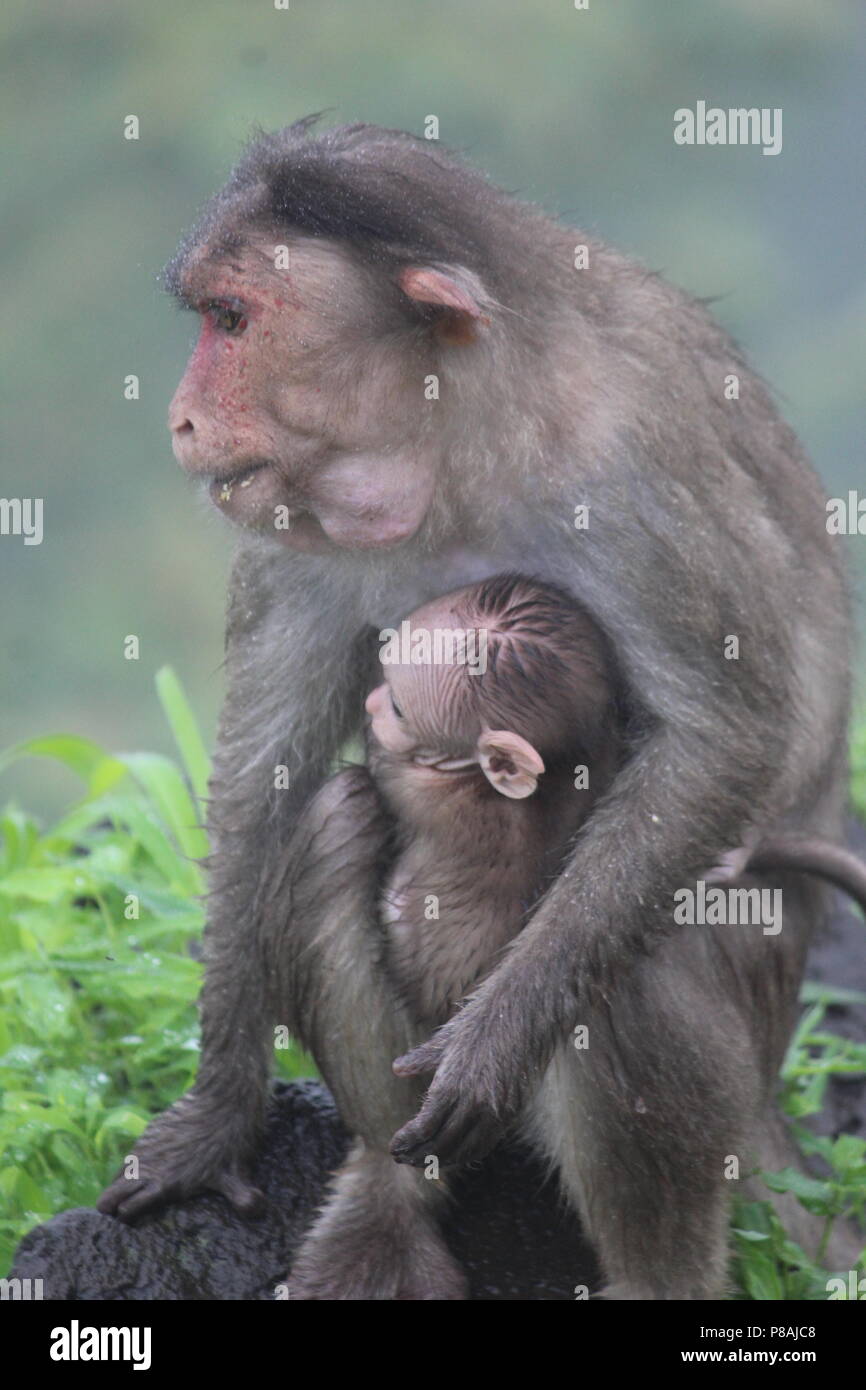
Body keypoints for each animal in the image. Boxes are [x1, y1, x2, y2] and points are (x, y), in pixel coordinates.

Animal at [98, 119, 854, 1299]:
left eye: (232, 320)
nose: (180, 418)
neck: (456, 440)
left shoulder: (630, 469)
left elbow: (722, 739)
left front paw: (490, 1046)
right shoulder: (298, 519)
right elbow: (265, 776)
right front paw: (218, 1112)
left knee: (624, 970)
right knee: (335, 822)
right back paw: (385, 1191)